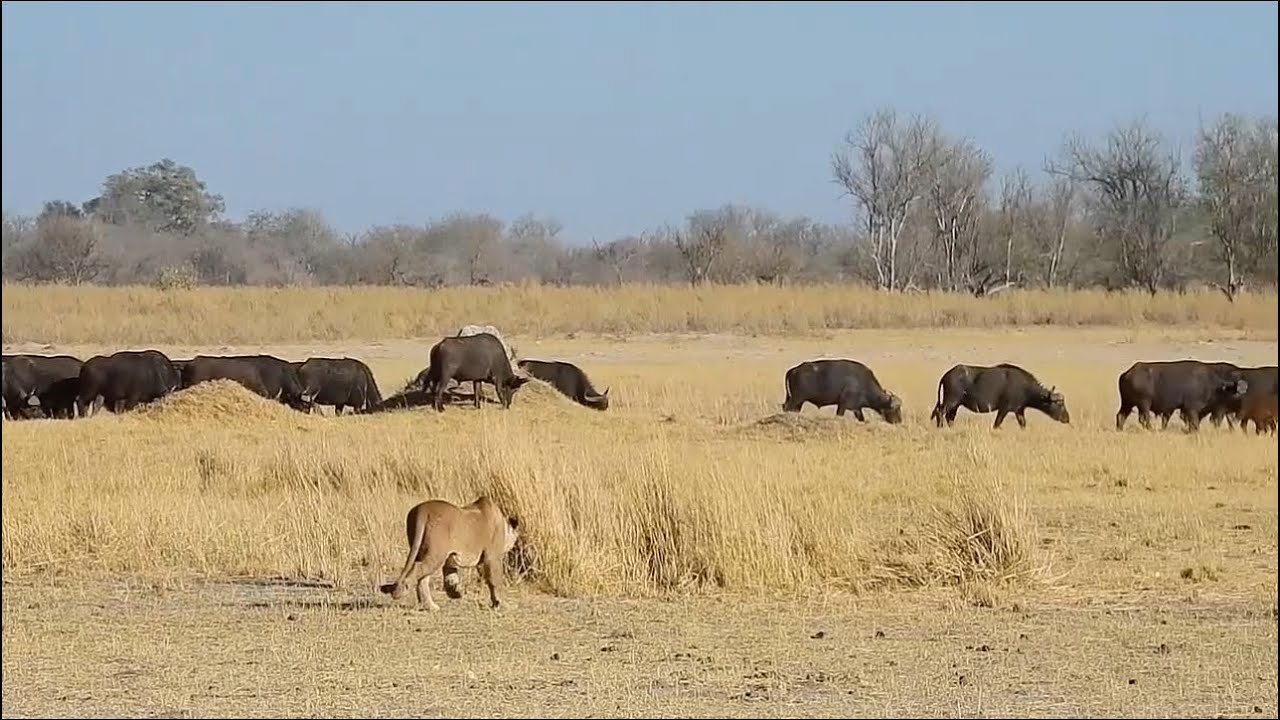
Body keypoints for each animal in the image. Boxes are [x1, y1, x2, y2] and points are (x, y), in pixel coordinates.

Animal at [378, 495, 521, 611]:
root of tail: (423, 511)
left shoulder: (451, 557)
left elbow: (450, 576)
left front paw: (455, 593)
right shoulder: (492, 556)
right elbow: (495, 580)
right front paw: (502, 604)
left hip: (425, 550)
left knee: (422, 577)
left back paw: (430, 606)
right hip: (436, 553)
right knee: (418, 570)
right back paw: (405, 593)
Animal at [931, 363, 1070, 429]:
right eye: (1060, 404)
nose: (1067, 418)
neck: (1025, 387)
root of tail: (947, 375)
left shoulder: (1019, 411)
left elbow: (1023, 424)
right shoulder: (1004, 409)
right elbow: (997, 424)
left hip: (956, 404)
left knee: (950, 417)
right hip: (951, 401)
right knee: (940, 412)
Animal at [1115, 360, 1249, 432]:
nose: (1243, 390)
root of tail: (1127, 374)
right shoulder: (1192, 408)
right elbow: (1194, 422)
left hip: (1127, 403)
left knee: (1121, 416)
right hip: (1144, 403)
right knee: (1144, 419)